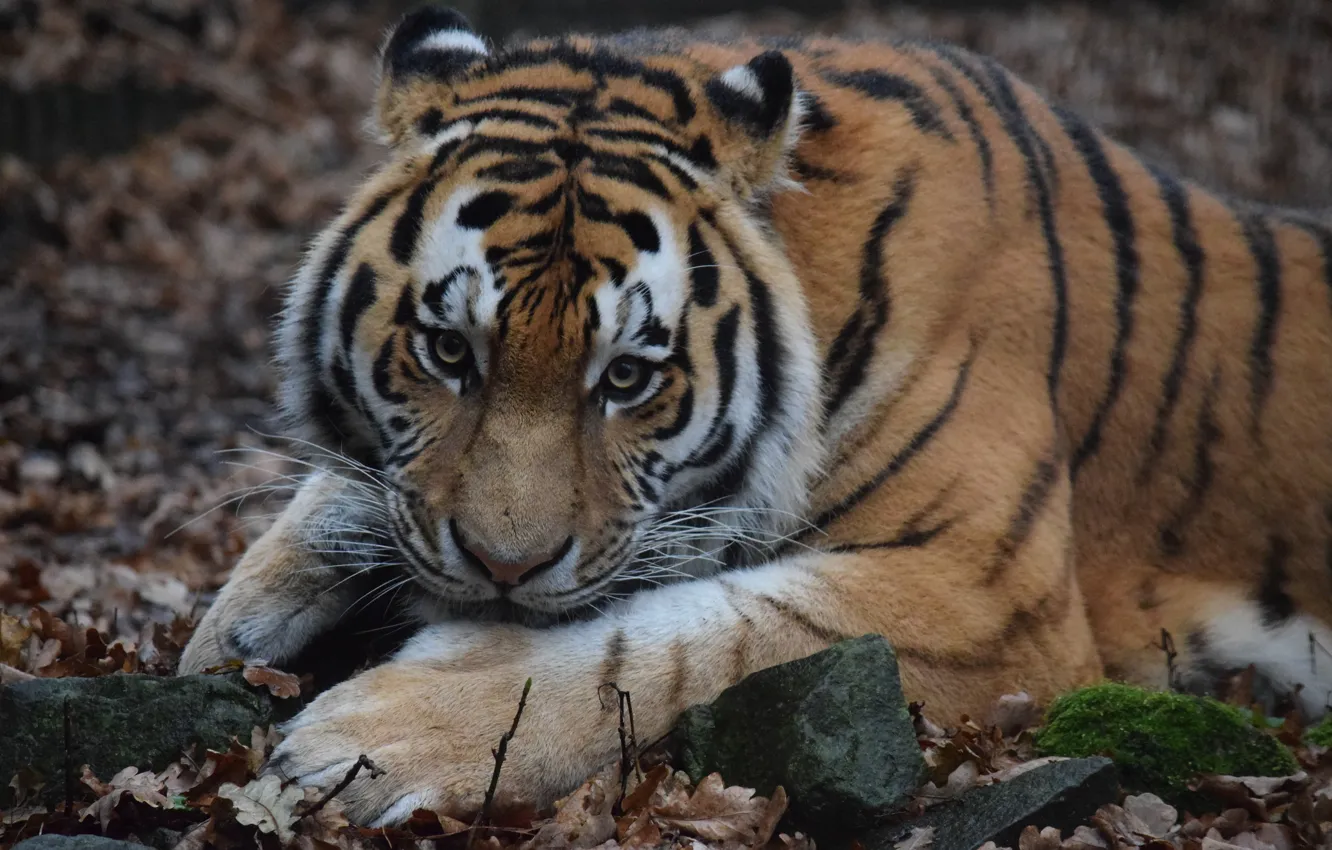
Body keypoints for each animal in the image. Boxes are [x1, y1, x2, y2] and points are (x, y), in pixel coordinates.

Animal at [179, 4, 1332, 826]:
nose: (505, 568)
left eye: (627, 377)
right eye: (448, 350)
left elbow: (686, 644)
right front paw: (229, 630)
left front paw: (376, 732)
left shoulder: (992, 596)